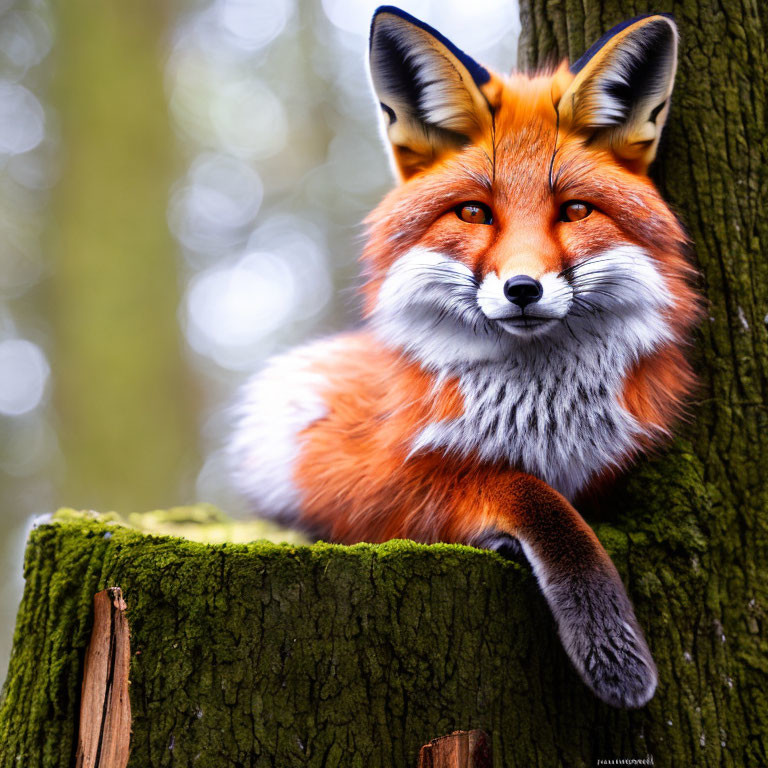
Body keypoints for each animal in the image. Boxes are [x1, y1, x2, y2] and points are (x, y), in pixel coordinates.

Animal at [228, 6, 704, 712]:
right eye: (475, 212)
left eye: (576, 211)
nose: (523, 289)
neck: (540, 420)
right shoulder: (358, 478)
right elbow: (523, 490)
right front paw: (607, 640)